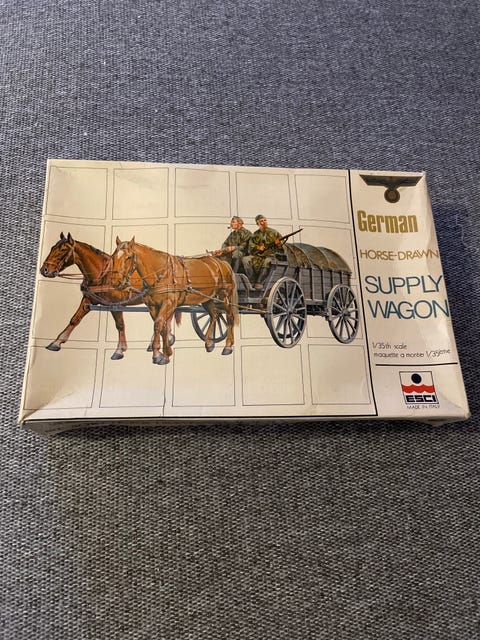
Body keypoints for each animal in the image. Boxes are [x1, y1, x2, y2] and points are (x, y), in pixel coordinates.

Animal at [40, 232, 177, 359]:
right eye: (52, 248)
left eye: (63, 249)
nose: (44, 270)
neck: (102, 275)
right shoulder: (88, 300)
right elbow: (74, 319)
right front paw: (57, 342)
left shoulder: (115, 305)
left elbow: (120, 325)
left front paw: (119, 350)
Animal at [111, 236, 239, 365]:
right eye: (114, 256)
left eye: (128, 257)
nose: (116, 282)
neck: (160, 274)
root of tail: (223, 263)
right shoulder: (152, 306)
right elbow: (162, 327)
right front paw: (165, 353)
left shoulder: (169, 304)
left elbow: (158, 325)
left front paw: (158, 355)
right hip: (207, 298)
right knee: (215, 315)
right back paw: (209, 343)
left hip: (224, 296)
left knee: (229, 317)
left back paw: (228, 346)